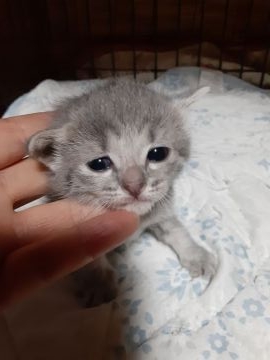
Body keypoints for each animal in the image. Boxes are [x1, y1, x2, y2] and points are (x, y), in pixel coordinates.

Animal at [28, 79, 217, 306]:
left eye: (158, 153)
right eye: (99, 164)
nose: (135, 186)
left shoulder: (161, 209)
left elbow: (176, 229)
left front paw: (196, 254)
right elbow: (89, 259)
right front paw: (99, 283)